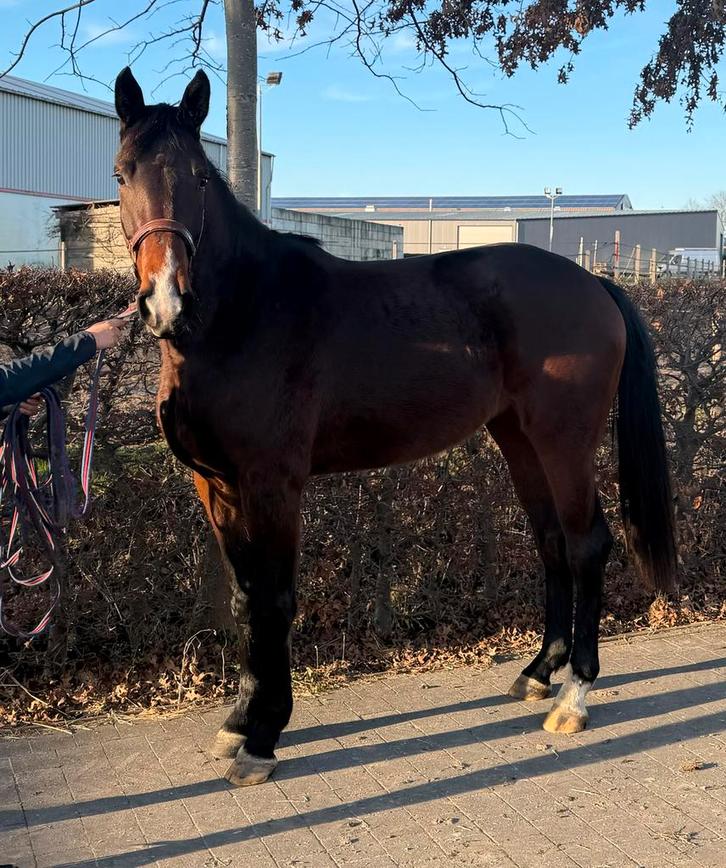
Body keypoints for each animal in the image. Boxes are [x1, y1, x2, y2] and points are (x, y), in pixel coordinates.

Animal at [113, 67, 676, 787]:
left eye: (201, 179)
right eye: (122, 172)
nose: (166, 299)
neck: (242, 317)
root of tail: (594, 283)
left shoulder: (274, 484)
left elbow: (274, 599)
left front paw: (264, 736)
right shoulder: (217, 487)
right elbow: (244, 598)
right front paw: (238, 719)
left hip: (565, 441)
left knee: (586, 546)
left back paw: (574, 695)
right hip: (519, 440)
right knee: (550, 542)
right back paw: (537, 672)